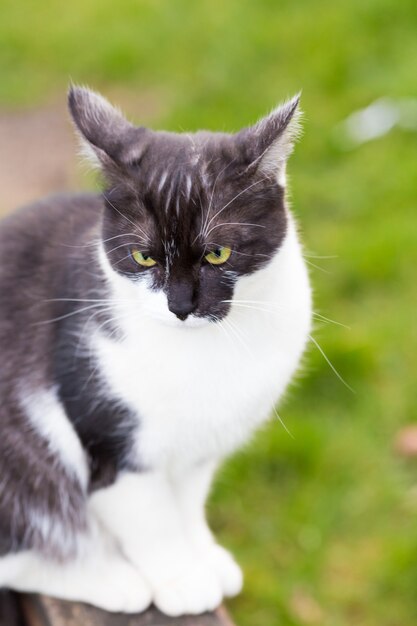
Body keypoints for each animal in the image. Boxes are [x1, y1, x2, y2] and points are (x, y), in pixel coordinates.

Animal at [0, 86, 310, 616]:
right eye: (143, 256)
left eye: (218, 253)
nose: (180, 306)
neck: (201, 351)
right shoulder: (110, 443)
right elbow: (152, 519)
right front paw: (182, 579)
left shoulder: (199, 445)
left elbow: (186, 502)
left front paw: (204, 556)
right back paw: (108, 577)